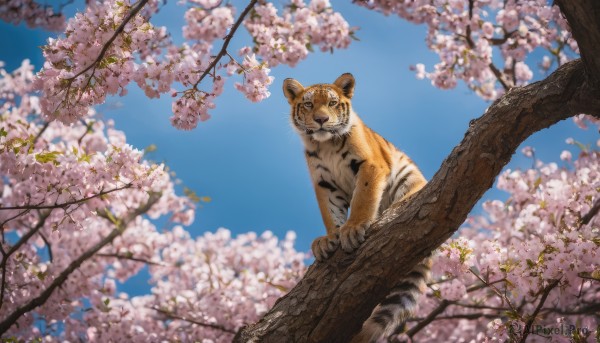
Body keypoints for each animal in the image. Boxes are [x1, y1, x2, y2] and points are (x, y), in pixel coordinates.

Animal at [284, 74, 434, 342]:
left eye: (332, 103)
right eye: (309, 105)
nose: (321, 120)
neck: (325, 145)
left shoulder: (370, 165)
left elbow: (363, 198)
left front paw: (353, 229)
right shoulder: (323, 183)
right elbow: (330, 213)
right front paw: (330, 238)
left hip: (408, 176)